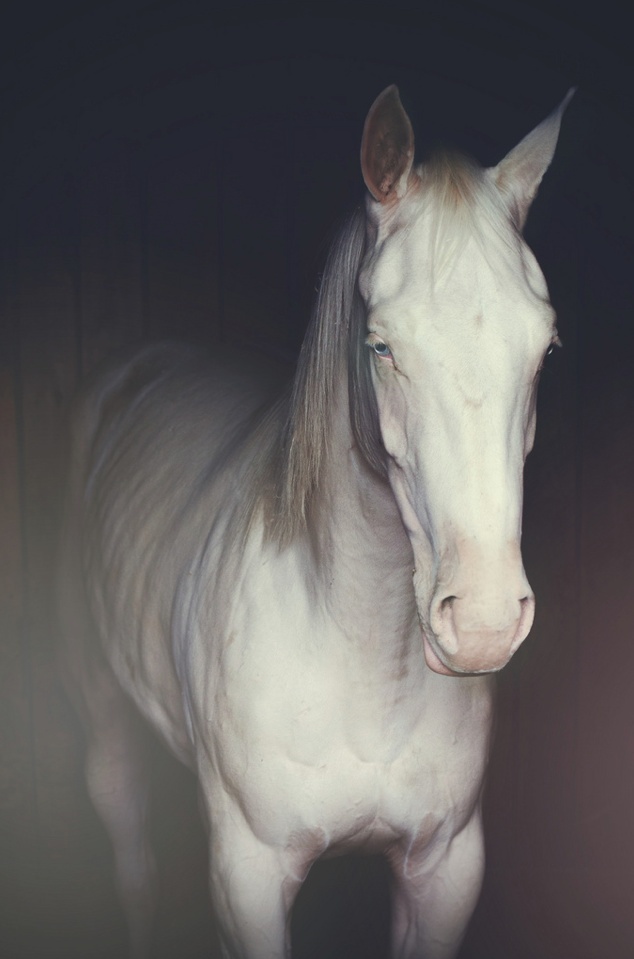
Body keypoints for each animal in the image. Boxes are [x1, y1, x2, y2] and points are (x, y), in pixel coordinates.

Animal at [58, 85, 572, 959]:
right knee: (131, 857)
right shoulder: (249, 879)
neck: (358, 653)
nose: (483, 624)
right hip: (100, 704)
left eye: (544, 348)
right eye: (382, 346)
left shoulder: (444, 868)